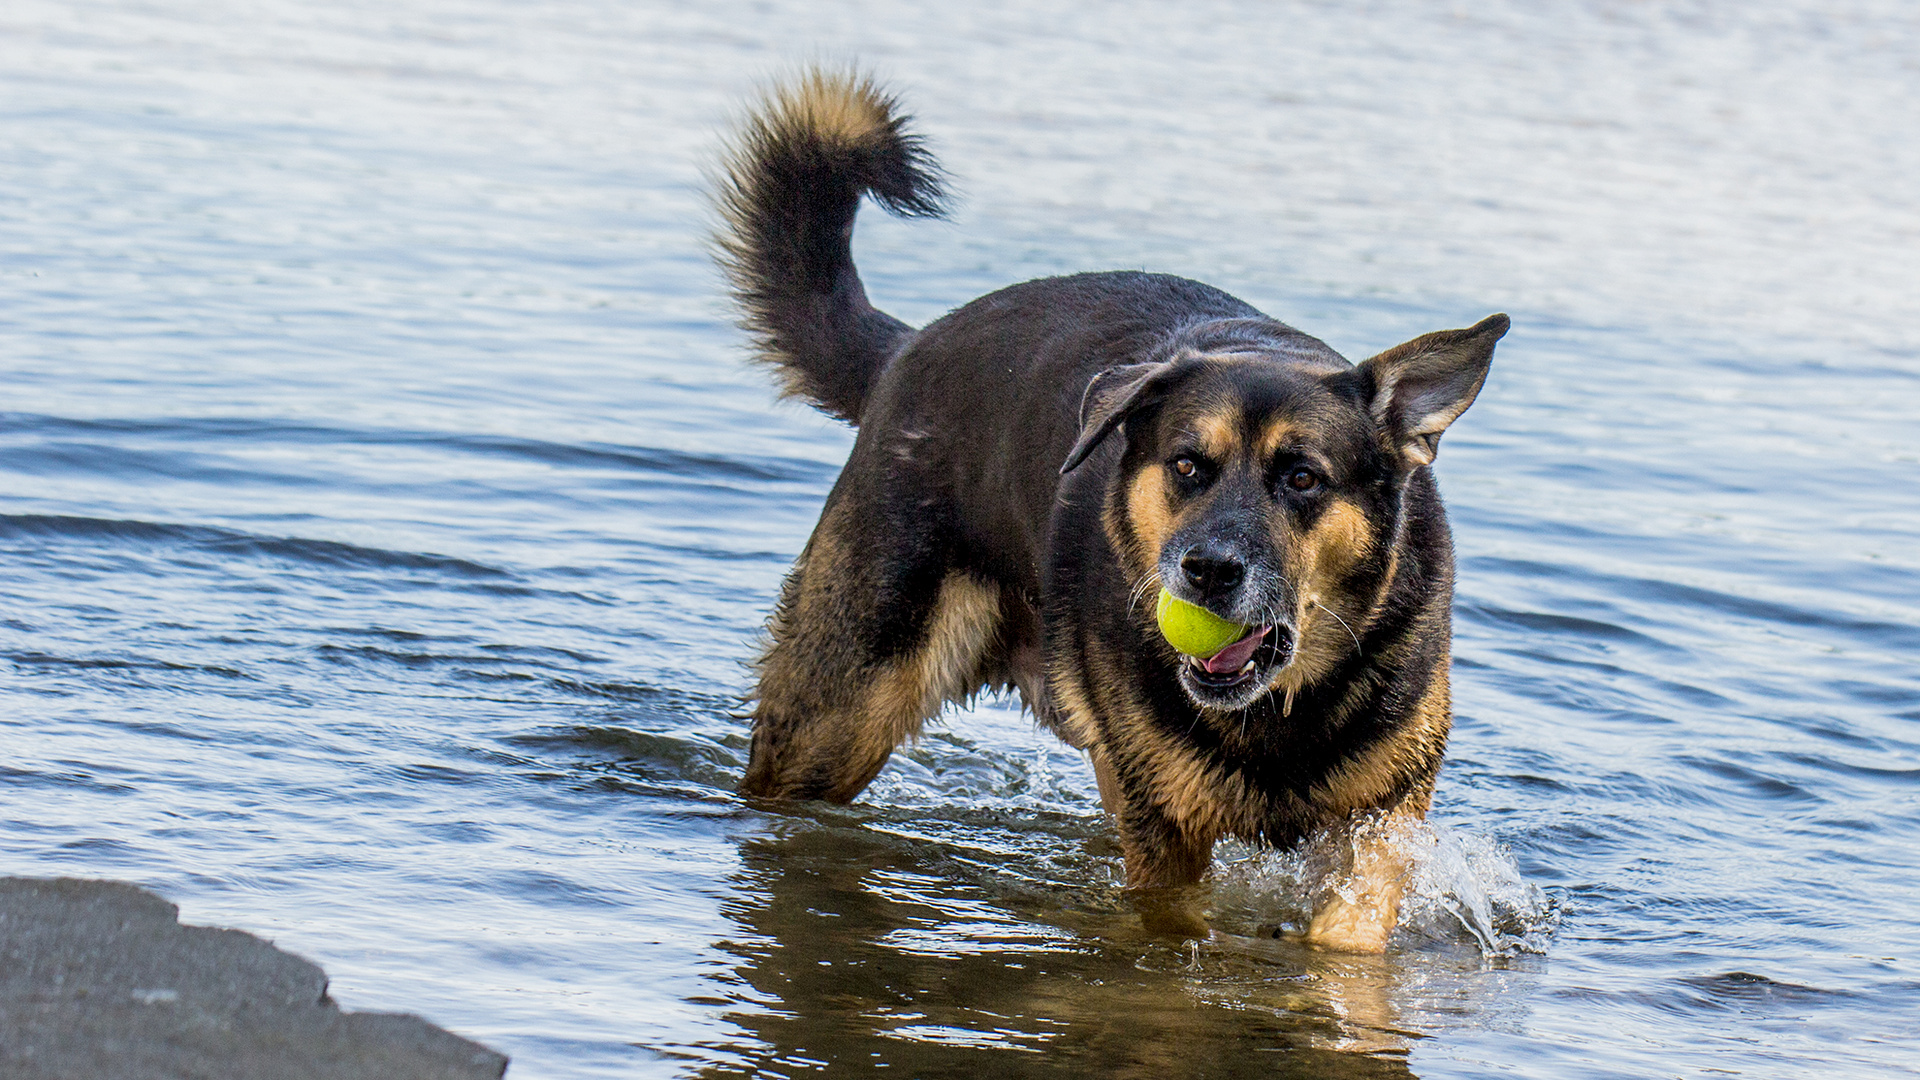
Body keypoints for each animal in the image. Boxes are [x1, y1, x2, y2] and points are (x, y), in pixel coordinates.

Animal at [714, 69, 1505, 949]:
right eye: (1188, 465)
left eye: (1302, 478)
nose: (1207, 572)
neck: (1283, 707)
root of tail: (903, 351)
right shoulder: (1163, 826)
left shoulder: (1379, 819)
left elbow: (1351, 930)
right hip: (834, 719)